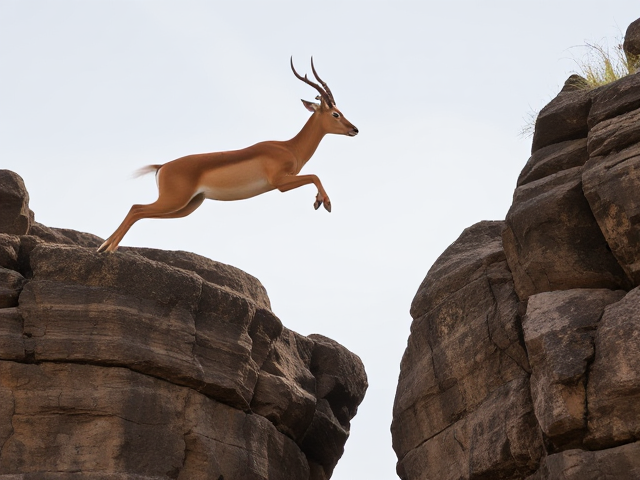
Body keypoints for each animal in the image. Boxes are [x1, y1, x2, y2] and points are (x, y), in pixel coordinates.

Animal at [97, 57, 358, 253]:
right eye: (335, 113)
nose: (354, 129)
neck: (289, 147)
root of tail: (162, 166)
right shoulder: (280, 183)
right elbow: (315, 175)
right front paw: (324, 203)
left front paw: (319, 201)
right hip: (174, 202)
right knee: (136, 208)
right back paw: (106, 249)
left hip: (186, 207)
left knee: (140, 211)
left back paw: (104, 246)